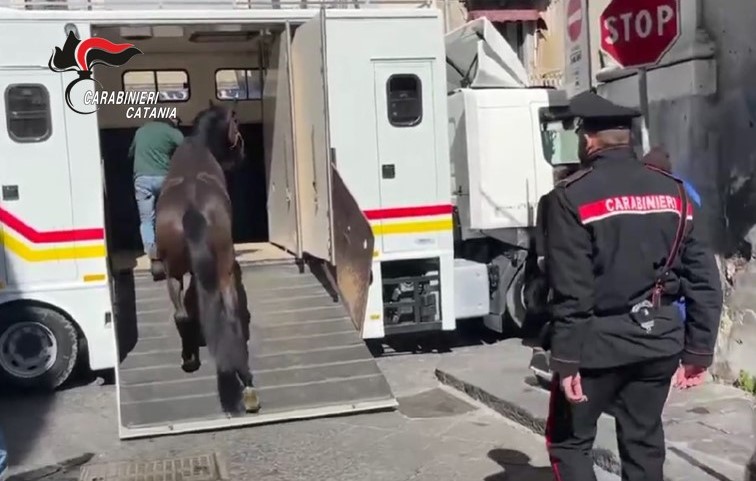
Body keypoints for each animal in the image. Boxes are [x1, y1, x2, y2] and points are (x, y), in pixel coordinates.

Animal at [153, 104, 260, 412]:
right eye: (236, 125)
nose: (242, 156)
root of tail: (191, 209)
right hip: (212, 269)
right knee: (219, 314)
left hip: (179, 270)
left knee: (187, 314)